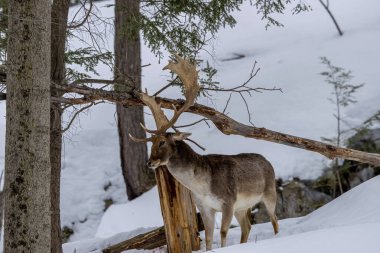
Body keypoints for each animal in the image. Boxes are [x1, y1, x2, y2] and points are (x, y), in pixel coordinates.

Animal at [129, 54, 278, 250]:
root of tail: (268, 162)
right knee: (247, 226)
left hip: (269, 192)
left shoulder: (228, 200)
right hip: (242, 207)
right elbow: (208, 237)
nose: (150, 162)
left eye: (162, 142)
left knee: (274, 220)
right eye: (151, 143)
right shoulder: (204, 207)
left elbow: (223, 233)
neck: (201, 186)